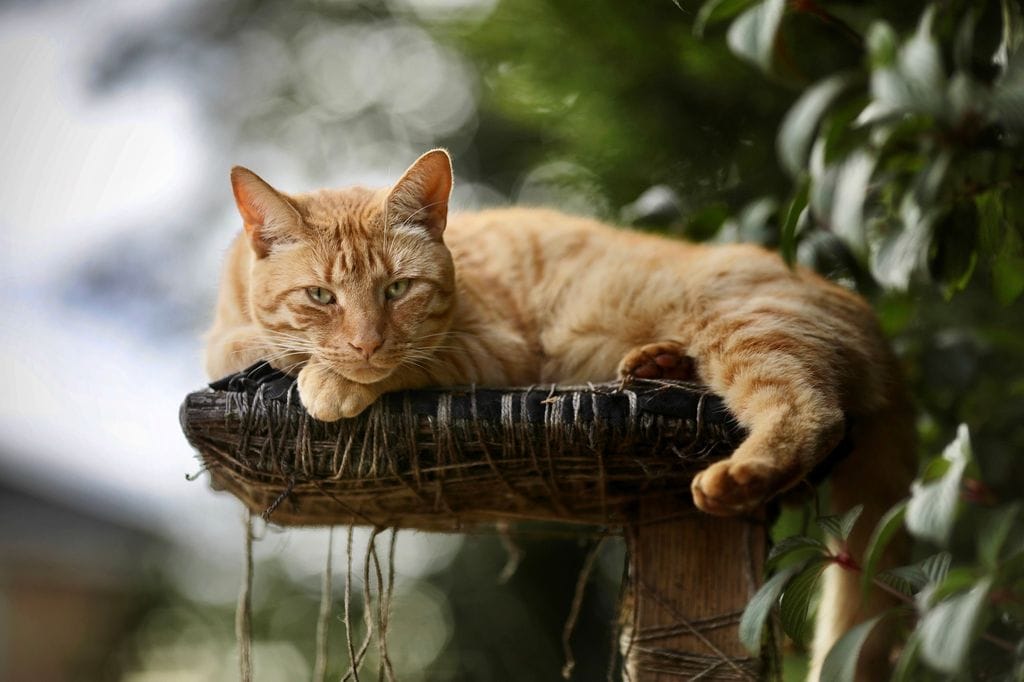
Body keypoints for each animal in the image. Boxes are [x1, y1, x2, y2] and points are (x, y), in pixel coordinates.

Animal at [203, 147, 917, 675]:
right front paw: (292, 358)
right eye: (321, 296)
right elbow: (244, 348)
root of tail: (874, 319)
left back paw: (736, 473)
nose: (366, 342)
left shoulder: (491, 353)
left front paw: (329, 380)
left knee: (812, 409)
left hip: (746, 329)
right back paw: (657, 364)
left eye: (398, 289)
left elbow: (398, 364)